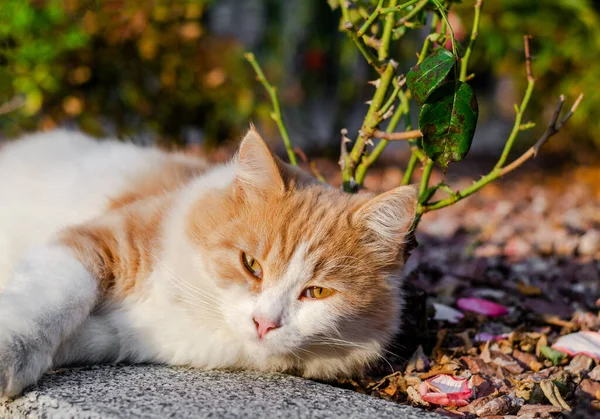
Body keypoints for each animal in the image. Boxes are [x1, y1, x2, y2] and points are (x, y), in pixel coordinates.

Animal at [0, 128, 418, 398]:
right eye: (251, 265)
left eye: (316, 292)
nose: (264, 323)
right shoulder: (99, 242)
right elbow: (54, 300)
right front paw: (11, 354)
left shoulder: (132, 337)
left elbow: (82, 338)